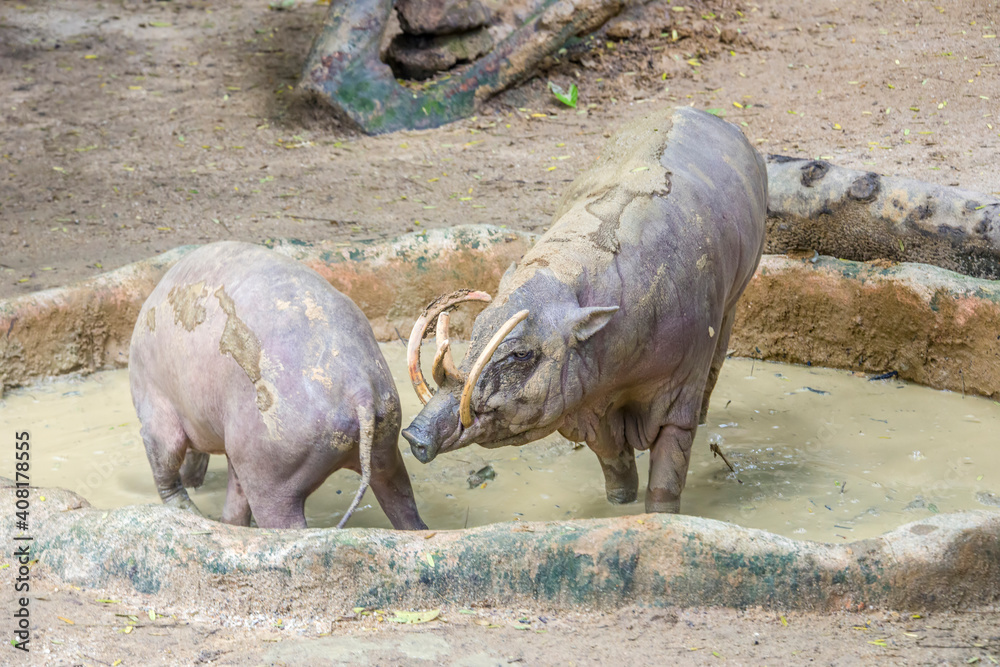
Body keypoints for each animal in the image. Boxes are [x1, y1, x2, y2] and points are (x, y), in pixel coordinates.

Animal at [128, 241, 426, 530]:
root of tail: (360, 389)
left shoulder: (158, 417)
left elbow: (165, 469)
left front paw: (186, 509)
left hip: (274, 485)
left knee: (286, 525)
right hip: (386, 452)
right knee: (406, 510)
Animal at [402, 108, 767, 514]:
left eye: (521, 354)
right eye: (477, 328)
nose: (415, 435)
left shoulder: (679, 389)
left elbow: (668, 470)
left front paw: (660, 516)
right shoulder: (586, 406)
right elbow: (612, 458)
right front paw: (619, 504)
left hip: (737, 294)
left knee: (717, 362)